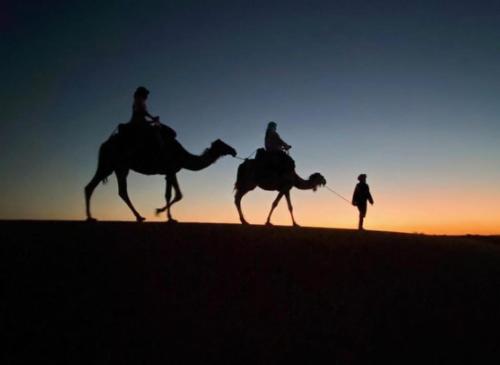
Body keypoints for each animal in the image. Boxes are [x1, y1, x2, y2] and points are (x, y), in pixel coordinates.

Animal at [84, 126, 236, 220]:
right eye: (222, 145)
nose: (234, 151)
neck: (183, 156)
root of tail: (104, 144)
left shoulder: (169, 172)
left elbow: (171, 194)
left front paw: (168, 216)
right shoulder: (171, 169)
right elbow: (175, 195)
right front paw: (162, 213)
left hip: (115, 166)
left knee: (98, 187)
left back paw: (92, 217)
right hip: (114, 164)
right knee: (116, 190)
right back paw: (137, 217)